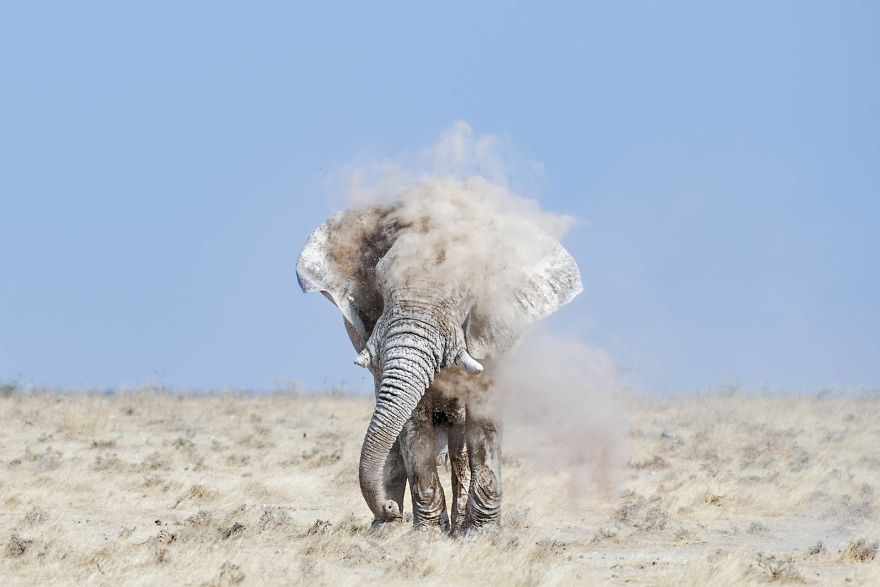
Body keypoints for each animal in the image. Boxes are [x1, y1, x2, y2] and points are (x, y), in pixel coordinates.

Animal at [296, 178, 582, 533]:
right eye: (381, 283)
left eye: (466, 292)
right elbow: (412, 420)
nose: (388, 507)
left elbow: (484, 416)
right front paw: (427, 535)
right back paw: (386, 530)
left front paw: (479, 534)